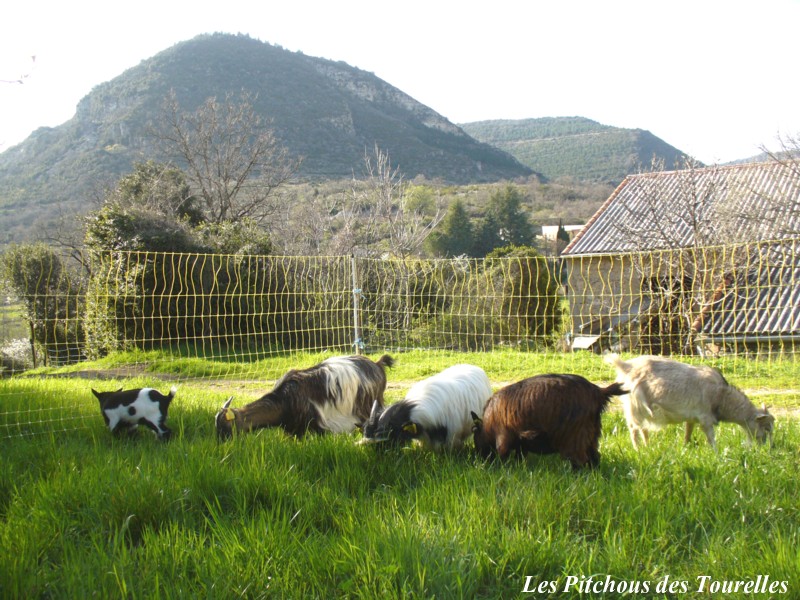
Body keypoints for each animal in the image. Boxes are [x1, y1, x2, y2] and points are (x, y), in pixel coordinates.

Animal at [216, 354, 394, 438]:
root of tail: (377, 364)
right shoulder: (293, 428)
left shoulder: (311, 423)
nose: (221, 443)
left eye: (225, 426)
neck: (283, 401)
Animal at [468, 376, 624, 468]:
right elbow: (520, 456)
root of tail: (598, 392)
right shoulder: (520, 441)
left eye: (475, 433)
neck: (488, 426)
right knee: (595, 457)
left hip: (575, 436)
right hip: (592, 434)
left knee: (581, 460)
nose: (479, 460)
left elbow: (503, 455)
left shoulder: (503, 438)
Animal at [608, 352, 776, 450]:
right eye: (766, 427)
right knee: (634, 428)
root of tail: (625, 366)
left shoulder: (692, 417)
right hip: (634, 405)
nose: (767, 448)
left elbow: (688, 433)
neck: (721, 396)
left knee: (643, 427)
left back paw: (648, 446)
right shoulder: (705, 418)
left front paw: (685, 448)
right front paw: (716, 453)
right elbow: (711, 438)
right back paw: (638, 449)